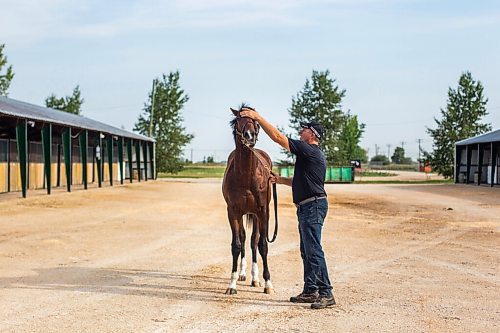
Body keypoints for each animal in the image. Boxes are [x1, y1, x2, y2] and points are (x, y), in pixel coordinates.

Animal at [223, 105, 276, 294]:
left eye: (256, 120)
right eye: (239, 119)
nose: (249, 136)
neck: (246, 176)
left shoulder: (263, 211)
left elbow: (262, 245)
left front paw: (268, 284)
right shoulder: (233, 212)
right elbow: (237, 245)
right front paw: (231, 284)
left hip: (256, 214)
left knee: (254, 242)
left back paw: (255, 278)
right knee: (245, 239)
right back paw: (243, 274)